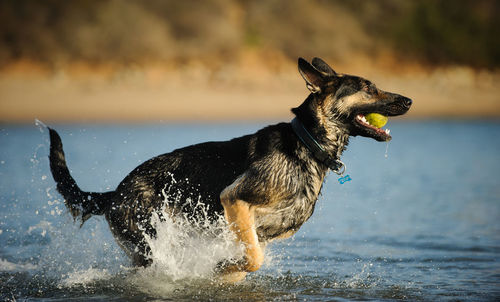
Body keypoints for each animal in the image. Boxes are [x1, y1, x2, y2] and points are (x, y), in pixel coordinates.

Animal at [48, 57, 412, 282]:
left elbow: (249, 262)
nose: (409, 100)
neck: (306, 144)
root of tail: (114, 193)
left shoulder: (256, 231)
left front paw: (224, 271)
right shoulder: (235, 200)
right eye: (368, 87)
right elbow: (253, 260)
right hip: (147, 244)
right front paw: (222, 267)